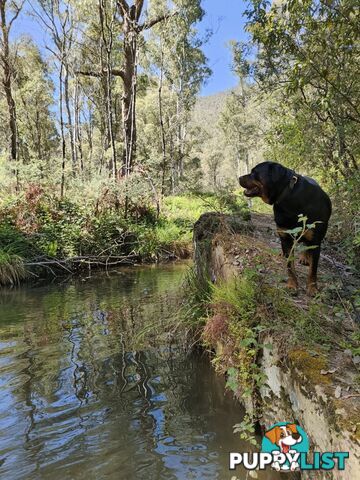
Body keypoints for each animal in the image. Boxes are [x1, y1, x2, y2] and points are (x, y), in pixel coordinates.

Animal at [239, 163, 332, 294]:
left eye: (254, 172)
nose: (239, 177)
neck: (288, 196)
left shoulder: (315, 241)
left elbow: (313, 269)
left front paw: (312, 287)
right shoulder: (285, 238)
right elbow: (290, 266)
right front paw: (292, 285)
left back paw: (305, 257)